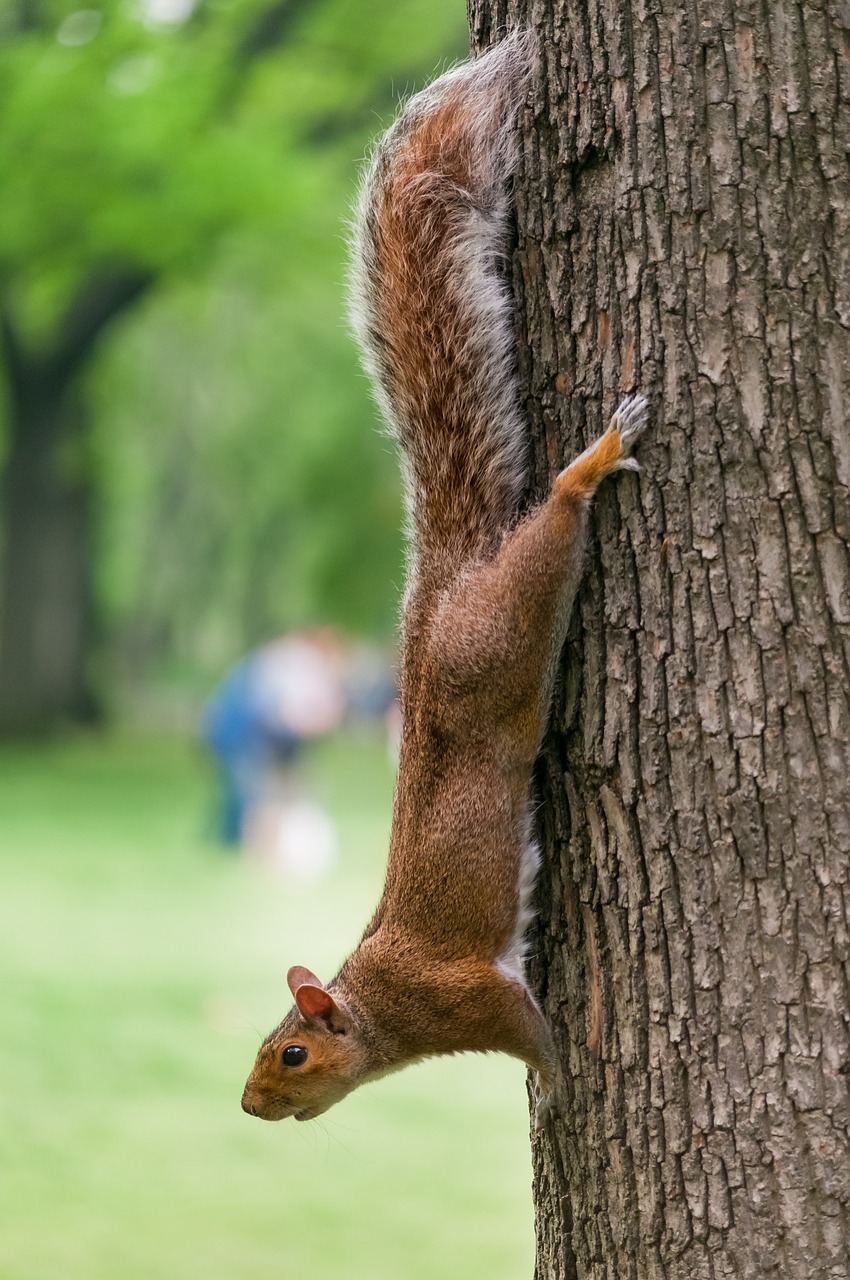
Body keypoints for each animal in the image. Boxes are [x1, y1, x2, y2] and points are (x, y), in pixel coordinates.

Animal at [240, 30, 650, 1126]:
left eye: (291, 1052)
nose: (250, 1105)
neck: (382, 1005)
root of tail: (437, 603)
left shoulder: (466, 994)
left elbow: (529, 1033)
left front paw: (557, 1080)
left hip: (503, 630)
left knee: (553, 530)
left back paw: (590, 465)